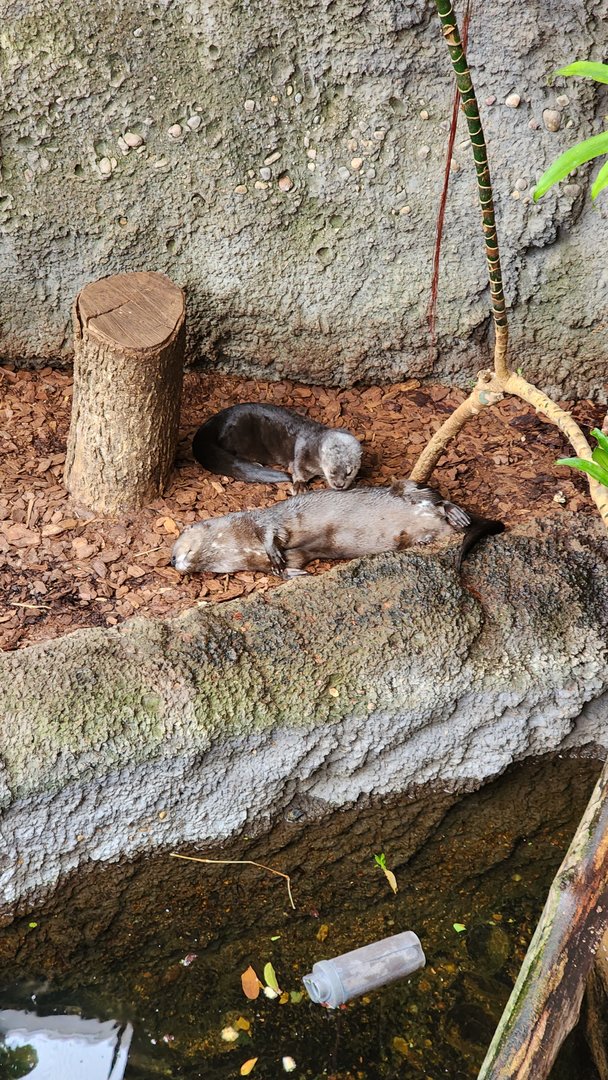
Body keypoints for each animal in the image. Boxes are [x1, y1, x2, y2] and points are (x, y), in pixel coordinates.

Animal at [171, 480, 504, 576]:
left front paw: (274, 554)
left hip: (409, 489)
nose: (172, 561)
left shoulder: (267, 520)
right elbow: (288, 567)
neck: (240, 546)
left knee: (435, 497)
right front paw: (293, 574)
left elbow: (272, 535)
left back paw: (456, 513)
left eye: (175, 549)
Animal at [192, 403, 362, 492]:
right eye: (332, 471)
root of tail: (215, 421)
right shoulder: (302, 451)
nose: (339, 485)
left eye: (349, 472)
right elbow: (297, 469)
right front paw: (299, 486)